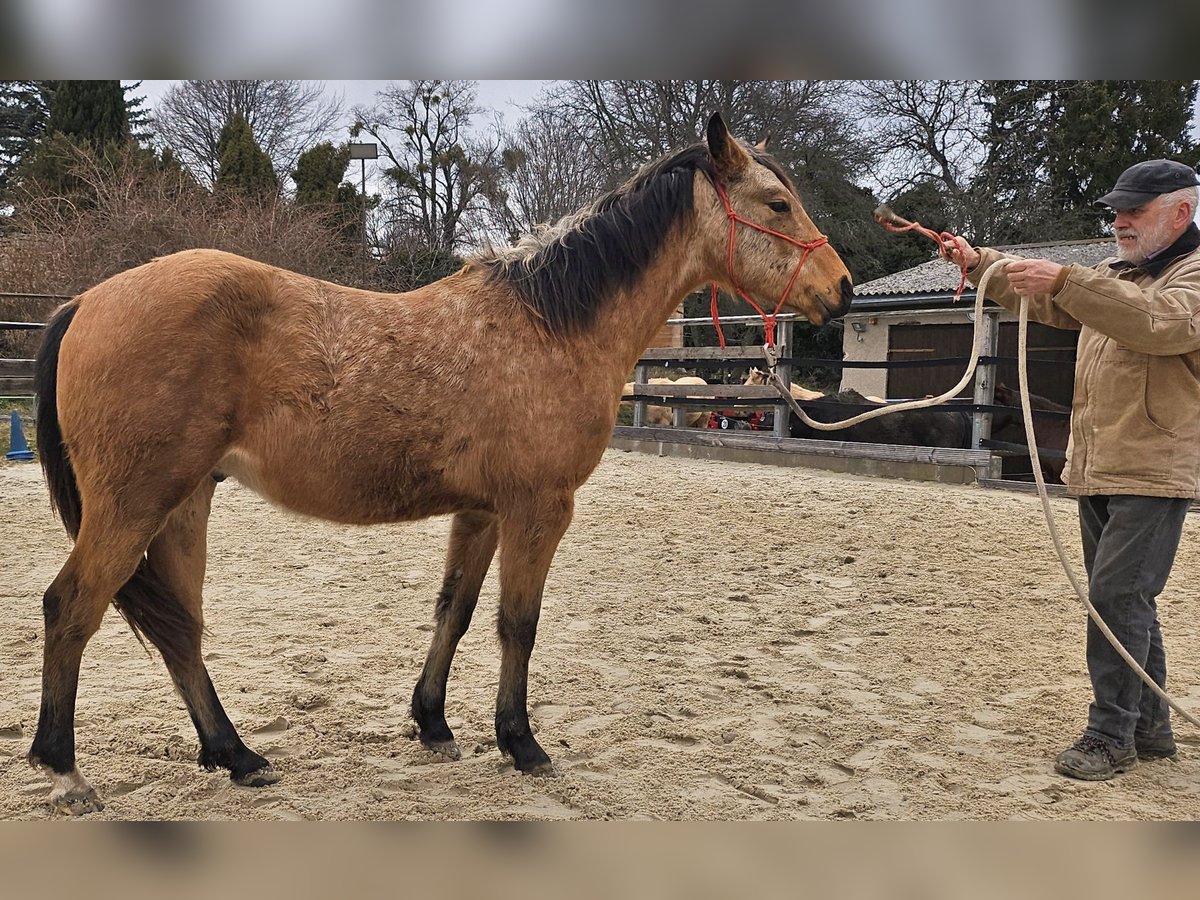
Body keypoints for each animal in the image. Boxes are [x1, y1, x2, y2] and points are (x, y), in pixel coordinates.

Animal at [28, 112, 854, 816]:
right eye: (777, 203)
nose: (841, 290)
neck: (549, 325)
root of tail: (86, 302)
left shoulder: (482, 510)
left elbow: (453, 611)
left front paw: (433, 724)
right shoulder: (540, 507)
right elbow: (517, 622)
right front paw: (521, 742)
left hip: (183, 503)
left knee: (181, 629)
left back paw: (236, 755)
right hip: (134, 504)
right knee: (72, 608)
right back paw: (67, 771)